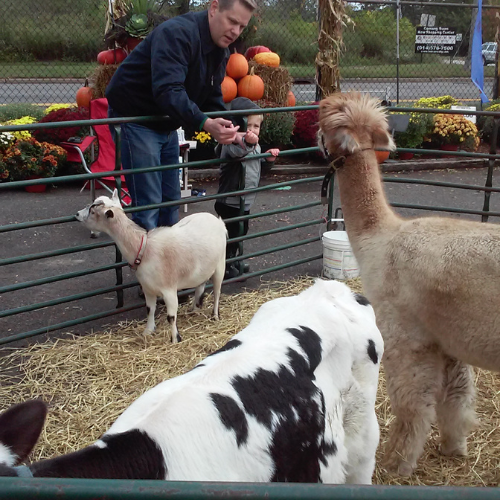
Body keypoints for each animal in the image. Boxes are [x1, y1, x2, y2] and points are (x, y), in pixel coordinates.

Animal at [75, 189, 227, 342]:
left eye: (93, 211)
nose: (76, 214)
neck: (143, 248)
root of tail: (218, 221)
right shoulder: (148, 288)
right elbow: (149, 309)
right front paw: (148, 331)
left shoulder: (169, 290)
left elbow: (171, 317)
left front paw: (175, 339)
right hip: (203, 268)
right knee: (200, 286)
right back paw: (195, 309)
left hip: (220, 265)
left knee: (217, 292)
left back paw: (215, 316)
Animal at [318, 93, 500, 476]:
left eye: (323, 118)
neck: (381, 238)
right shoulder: (445, 338)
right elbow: (457, 399)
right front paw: (454, 449)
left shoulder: (405, 336)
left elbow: (413, 407)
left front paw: (395, 464)